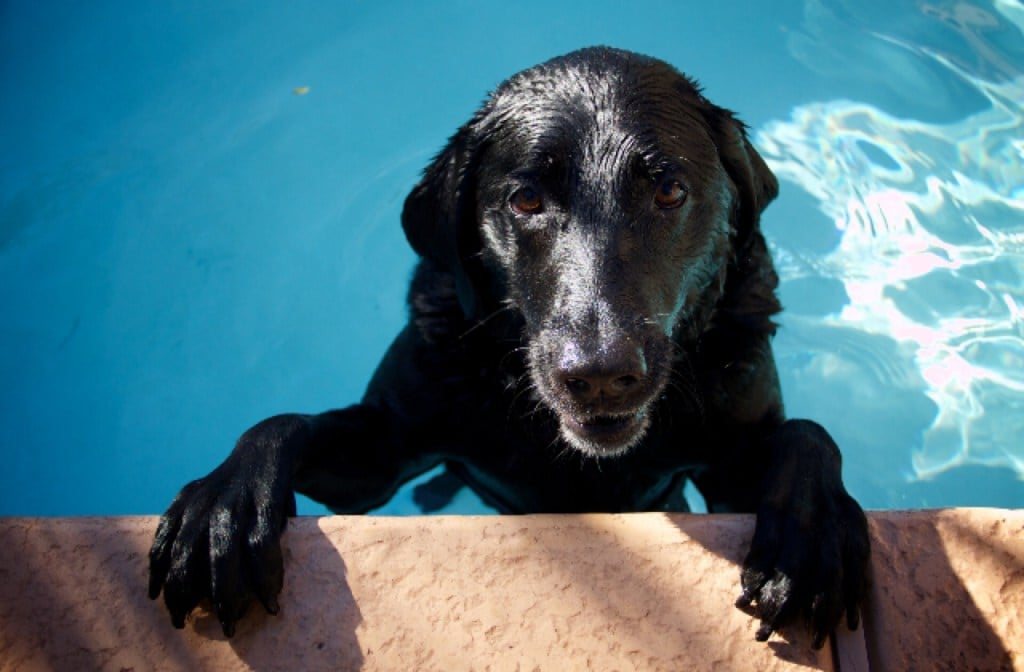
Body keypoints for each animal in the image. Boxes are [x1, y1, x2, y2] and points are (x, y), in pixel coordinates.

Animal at [148, 45, 868, 647]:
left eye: (668, 189)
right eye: (524, 199)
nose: (599, 373)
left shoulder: (733, 465)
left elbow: (808, 434)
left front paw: (814, 539)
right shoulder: (378, 454)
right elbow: (281, 424)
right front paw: (222, 511)